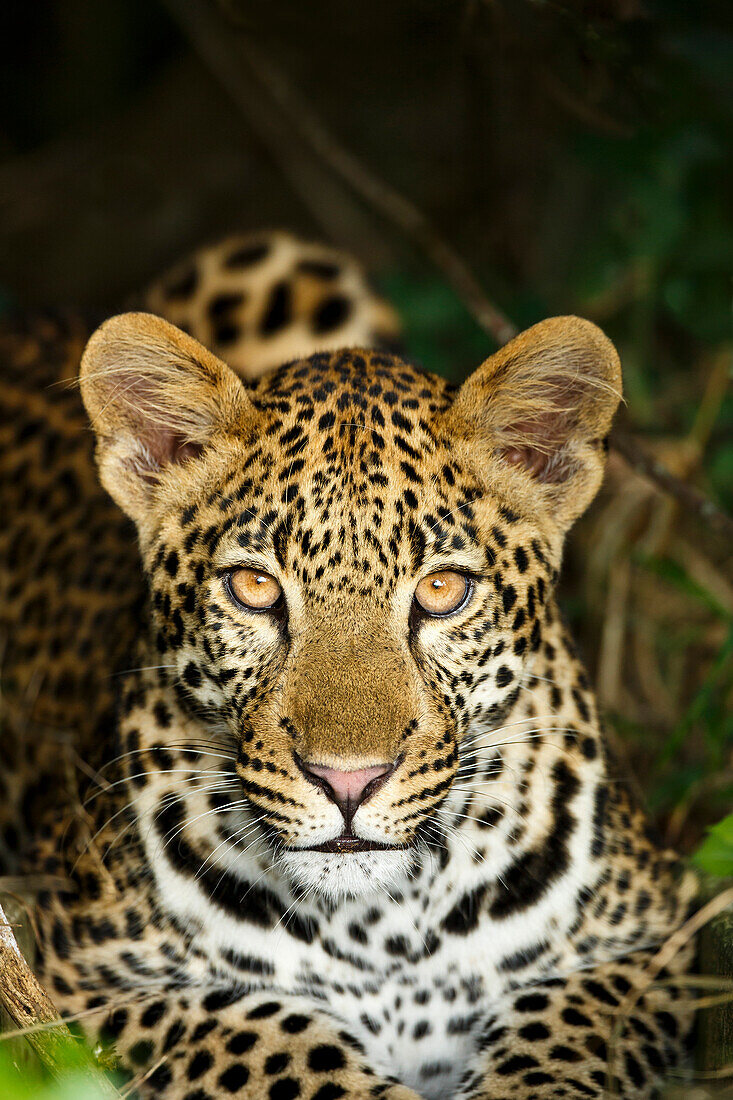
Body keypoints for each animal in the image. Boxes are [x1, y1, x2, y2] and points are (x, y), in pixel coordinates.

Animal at [0, 227, 695, 1095]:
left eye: (441, 591)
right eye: (255, 588)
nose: (348, 783)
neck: (381, 929)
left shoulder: (653, 937)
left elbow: (560, 1042)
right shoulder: (91, 973)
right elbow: (284, 1047)